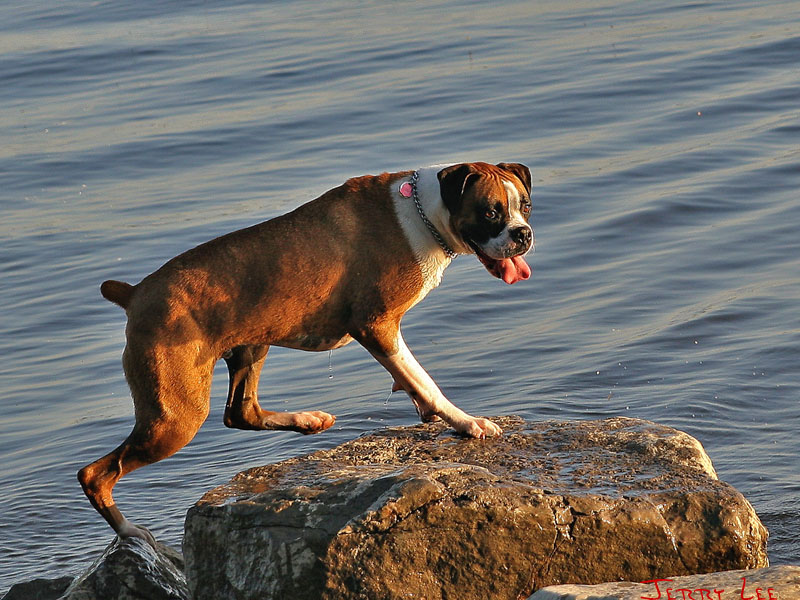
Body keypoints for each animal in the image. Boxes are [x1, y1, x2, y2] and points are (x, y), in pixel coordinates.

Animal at [79, 161, 532, 544]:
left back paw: (307, 420)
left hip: (250, 348)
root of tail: (136, 292)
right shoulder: (377, 326)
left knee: (241, 413)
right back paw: (130, 531)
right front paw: (466, 422)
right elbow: (425, 380)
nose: (522, 233)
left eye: (524, 205)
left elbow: (413, 382)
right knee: (96, 474)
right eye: (490, 212)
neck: (425, 213)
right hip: (175, 418)